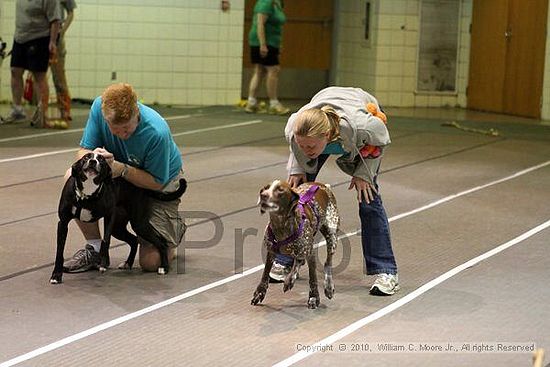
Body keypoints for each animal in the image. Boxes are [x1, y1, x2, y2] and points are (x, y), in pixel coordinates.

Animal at [50, 152, 188, 284]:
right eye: (86, 158)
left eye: (101, 160)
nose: (93, 161)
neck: (87, 195)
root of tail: (141, 187)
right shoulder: (63, 224)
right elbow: (59, 252)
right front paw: (56, 276)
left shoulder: (109, 216)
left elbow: (105, 240)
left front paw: (103, 263)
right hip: (118, 228)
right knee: (134, 240)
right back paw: (128, 263)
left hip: (138, 224)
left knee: (161, 242)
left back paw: (164, 267)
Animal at [253, 181, 340, 310]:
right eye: (266, 188)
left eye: (280, 190)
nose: (263, 195)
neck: (281, 226)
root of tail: (323, 185)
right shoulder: (271, 252)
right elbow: (265, 274)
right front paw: (259, 293)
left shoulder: (310, 253)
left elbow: (313, 278)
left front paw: (313, 298)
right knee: (298, 260)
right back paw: (290, 280)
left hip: (332, 236)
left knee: (327, 263)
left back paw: (328, 286)